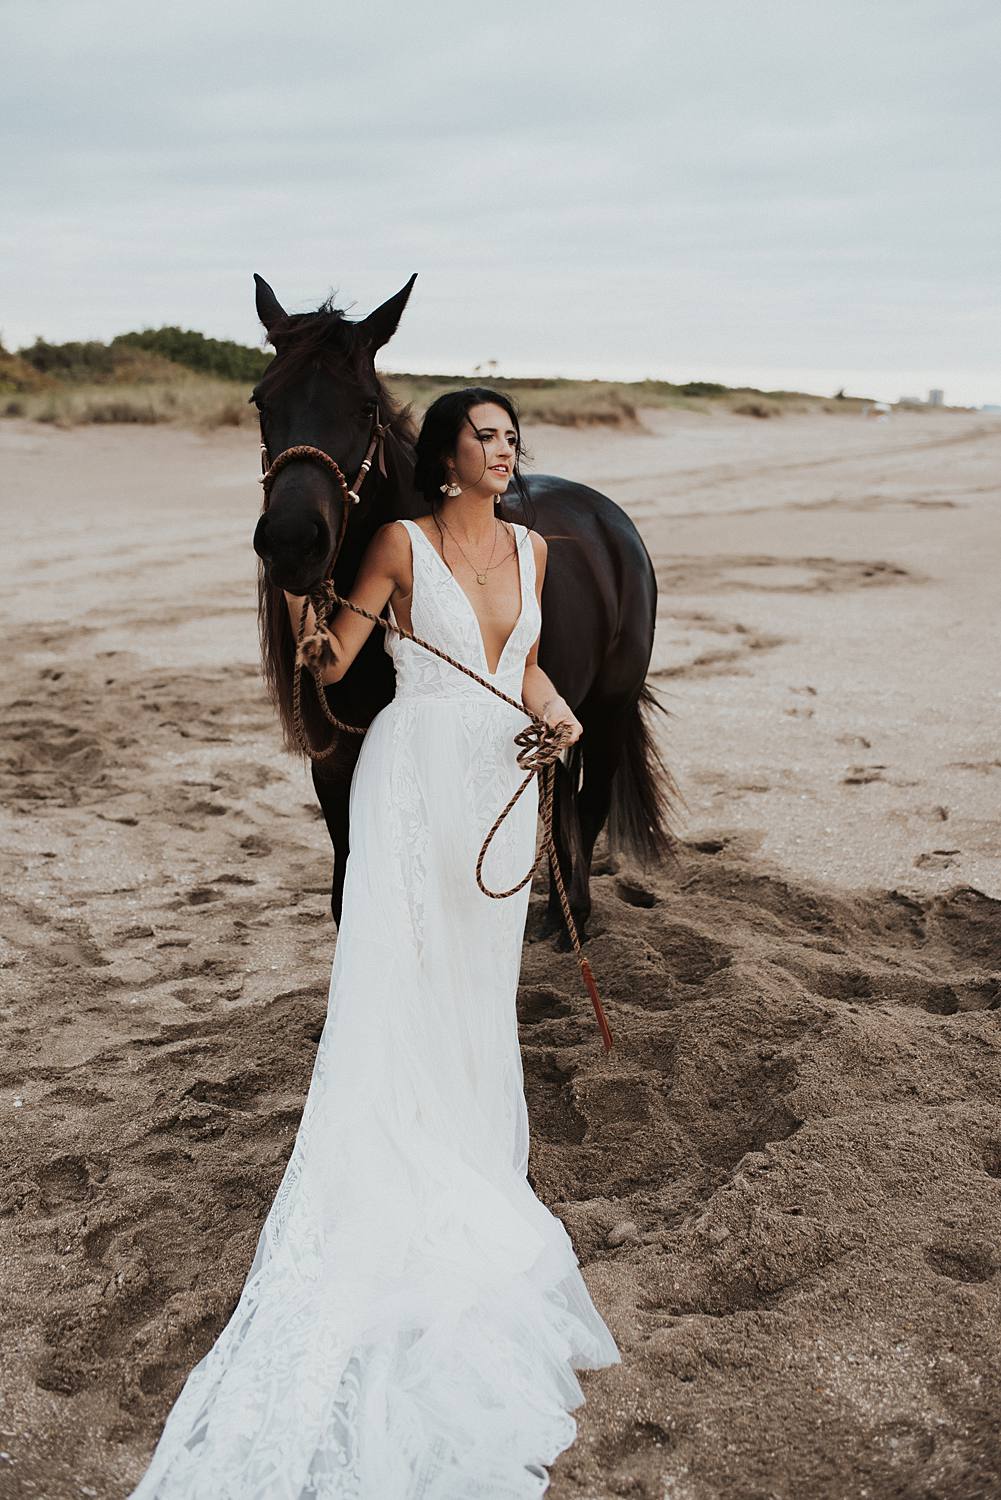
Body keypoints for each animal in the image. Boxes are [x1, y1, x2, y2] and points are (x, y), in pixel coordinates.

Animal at [250, 274, 681, 942]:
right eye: (261, 402)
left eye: (366, 406)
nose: (293, 542)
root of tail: (610, 519)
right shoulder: (335, 764)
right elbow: (350, 897)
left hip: (608, 711)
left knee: (589, 804)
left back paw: (572, 921)